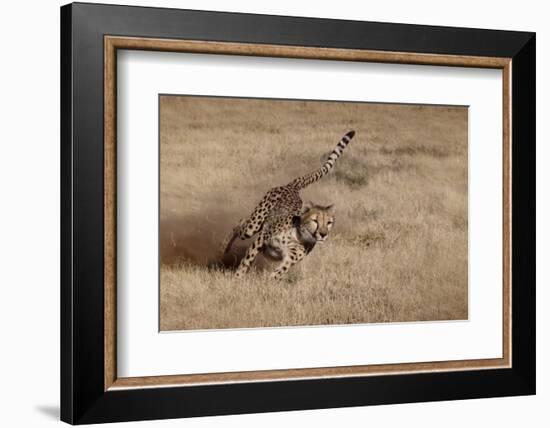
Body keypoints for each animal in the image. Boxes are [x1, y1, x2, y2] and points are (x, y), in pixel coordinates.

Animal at [224, 130, 358, 278]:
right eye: (315, 221)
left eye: (329, 222)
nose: (323, 234)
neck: (297, 236)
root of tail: (292, 187)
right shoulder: (260, 240)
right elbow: (246, 261)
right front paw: (237, 278)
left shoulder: (291, 258)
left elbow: (279, 272)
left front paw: (268, 280)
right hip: (253, 226)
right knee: (240, 224)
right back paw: (224, 248)